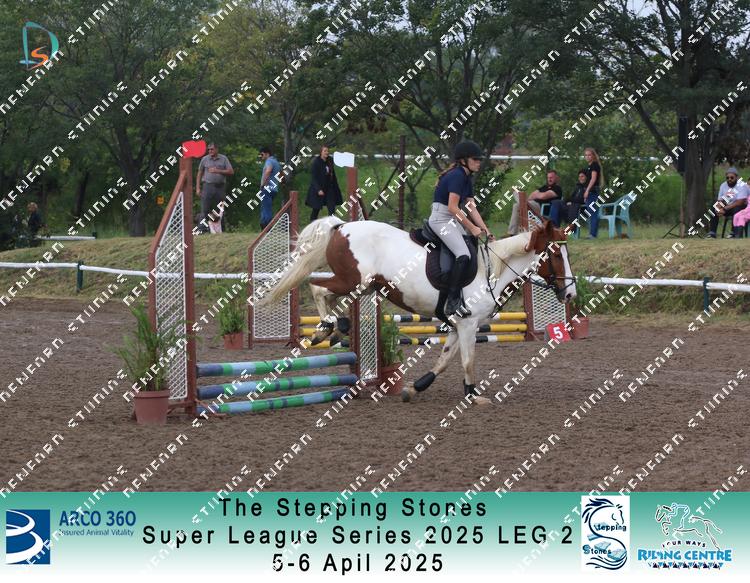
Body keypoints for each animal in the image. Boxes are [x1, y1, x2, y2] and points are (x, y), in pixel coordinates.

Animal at [258, 216, 575, 404]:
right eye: (556, 255)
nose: (571, 292)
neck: (493, 270)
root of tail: (341, 227)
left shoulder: (459, 324)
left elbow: (445, 360)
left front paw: (416, 387)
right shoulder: (469, 324)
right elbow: (467, 361)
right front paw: (473, 395)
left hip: (363, 286)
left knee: (331, 296)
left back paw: (339, 329)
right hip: (354, 280)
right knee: (317, 288)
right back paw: (325, 329)